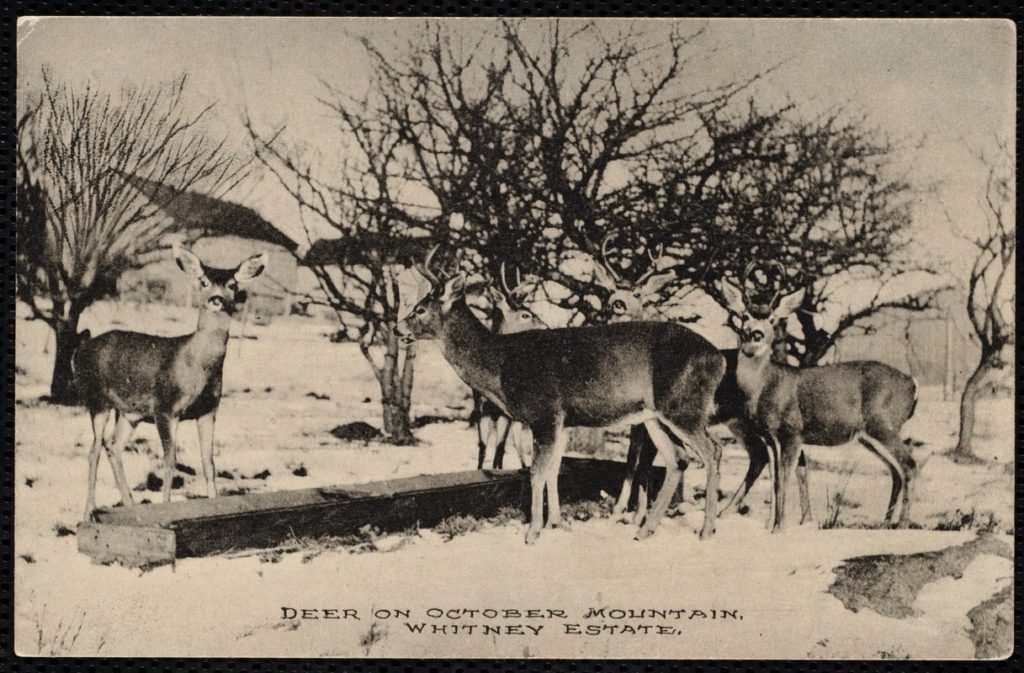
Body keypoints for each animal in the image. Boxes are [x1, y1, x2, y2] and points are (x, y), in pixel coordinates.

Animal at [74, 243, 268, 522]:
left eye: (232, 284)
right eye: (203, 281)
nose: (217, 299)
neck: (195, 368)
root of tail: (79, 351)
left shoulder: (209, 410)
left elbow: (209, 463)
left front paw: (215, 504)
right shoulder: (164, 408)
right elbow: (169, 461)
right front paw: (166, 507)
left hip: (130, 413)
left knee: (113, 446)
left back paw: (130, 506)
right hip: (97, 399)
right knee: (94, 450)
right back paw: (89, 512)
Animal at [473, 262, 552, 467]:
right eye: (525, 315)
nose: (548, 328)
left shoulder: (507, 412)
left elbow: (500, 449)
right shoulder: (481, 407)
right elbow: (482, 448)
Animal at [720, 262, 921, 528]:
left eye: (772, 319)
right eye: (745, 316)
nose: (755, 335)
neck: (766, 386)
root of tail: (913, 384)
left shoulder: (793, 432)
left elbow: (784, 479)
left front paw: (779, 528)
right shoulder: (770, 436)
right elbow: (775, 480)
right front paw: (771, 525)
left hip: (884, 423)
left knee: (909, 465)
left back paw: (902, 524)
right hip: (869, 435)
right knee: (895, 470)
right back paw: (885, 523)